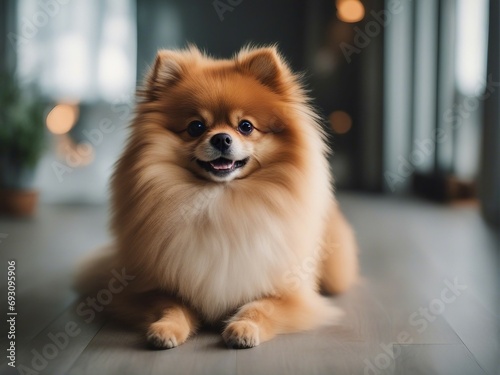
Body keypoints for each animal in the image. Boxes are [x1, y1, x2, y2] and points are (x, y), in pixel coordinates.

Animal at [74, 46, 358, 350]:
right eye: (196, 127)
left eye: (246, 126)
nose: (221, 138)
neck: (220, 201)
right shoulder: (144, 289)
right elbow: (171, 304)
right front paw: (166, 328)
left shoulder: (291, 293)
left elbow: (260, 306)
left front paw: (244, 328)